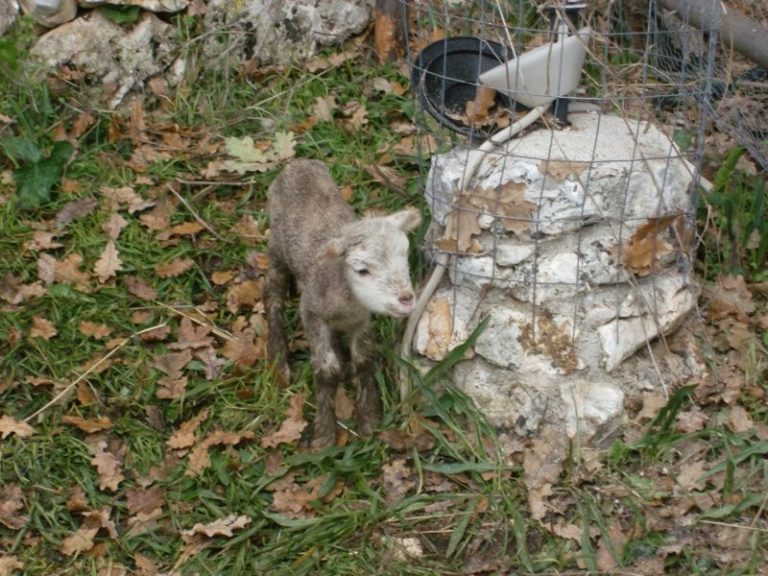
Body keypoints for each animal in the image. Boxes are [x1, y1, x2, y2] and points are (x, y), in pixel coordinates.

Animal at [265, 159, 422, 448]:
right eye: (362, 270)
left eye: (405, 255)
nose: (406, 300)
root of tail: (297, 163)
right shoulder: (311, 314)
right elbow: (327, 371)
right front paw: (324, 434)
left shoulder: (361, 320)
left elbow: (364, 359)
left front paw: (369, 418)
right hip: (277, 247)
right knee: (272, 293)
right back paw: (278, 358)